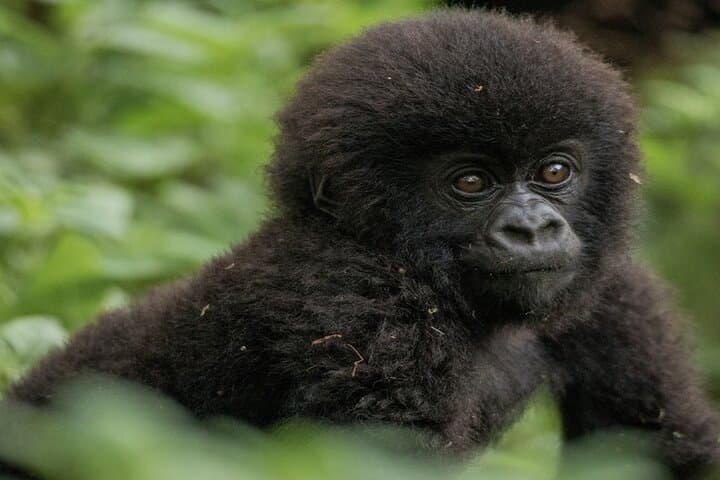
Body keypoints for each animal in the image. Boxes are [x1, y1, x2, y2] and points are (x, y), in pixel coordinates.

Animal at [5, 8, 719, 478]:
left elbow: (660, 444)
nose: (534, 228)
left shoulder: (613, 288)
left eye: (554, 172)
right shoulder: (363, 313)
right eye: (470, 181)